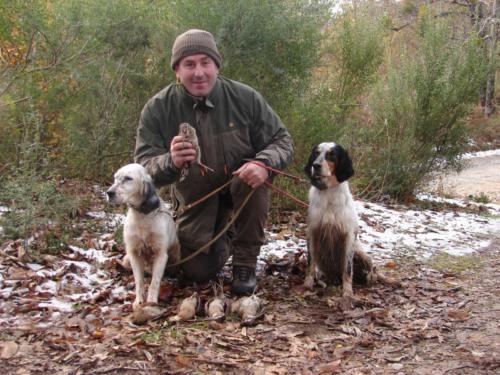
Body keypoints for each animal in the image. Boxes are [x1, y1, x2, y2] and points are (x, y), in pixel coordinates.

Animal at [106, 164, 181, 312]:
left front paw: (151, 301)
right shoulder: (134, 253)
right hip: (128, 257)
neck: (142, 216)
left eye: (128, 178)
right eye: (115, 178)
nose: (109, 193)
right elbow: (139, 281)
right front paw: (139, 301)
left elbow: (154, 281)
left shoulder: (160, 254)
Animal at [302, 143, 396, 308]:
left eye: (332, 155)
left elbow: (347, 269)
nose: (316, 165)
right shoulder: (312, 232)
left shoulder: (348, 235)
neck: (329, 193)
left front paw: (347, 293)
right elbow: (310, 263)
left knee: (373, 272)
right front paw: (308, 283)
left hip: (364, 256)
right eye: (316, 154)